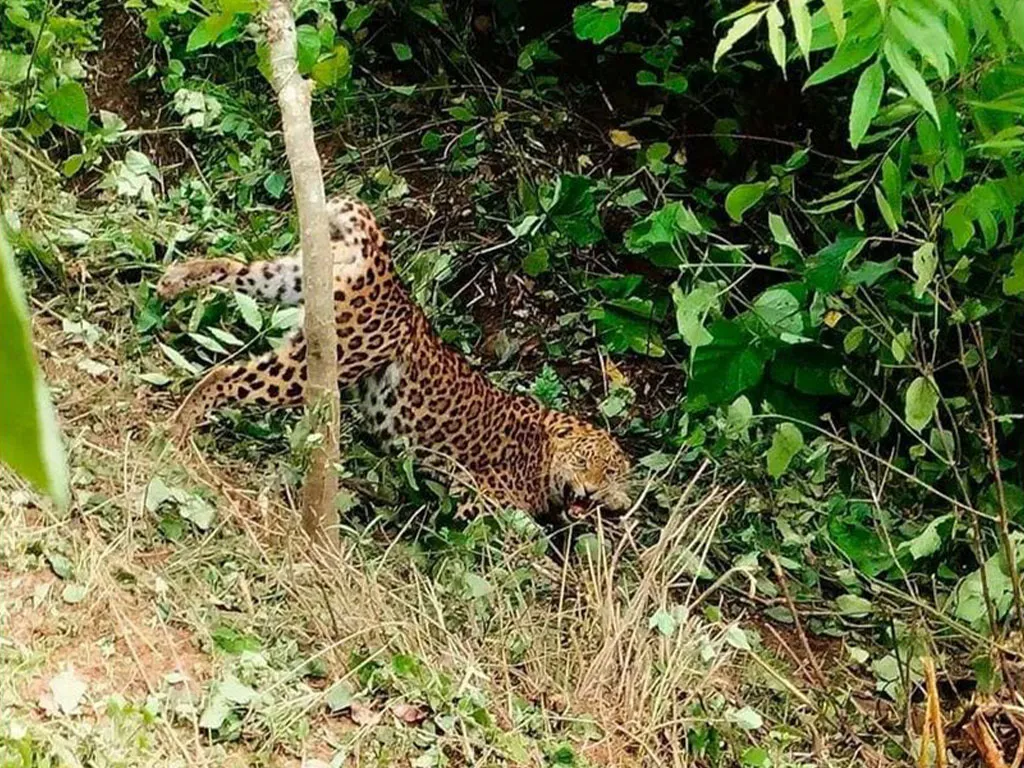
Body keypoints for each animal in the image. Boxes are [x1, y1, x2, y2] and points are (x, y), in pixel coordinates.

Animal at [156, 193, 630, 518]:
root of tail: (388, 271)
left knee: (236, 265)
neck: (544, 448)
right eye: (585, 463)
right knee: (225, 375)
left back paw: (175, 278)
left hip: (294, 277)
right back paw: (178, 427)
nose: (591, 492)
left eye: (611, 475)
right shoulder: (477, 499)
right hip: (320, 360)